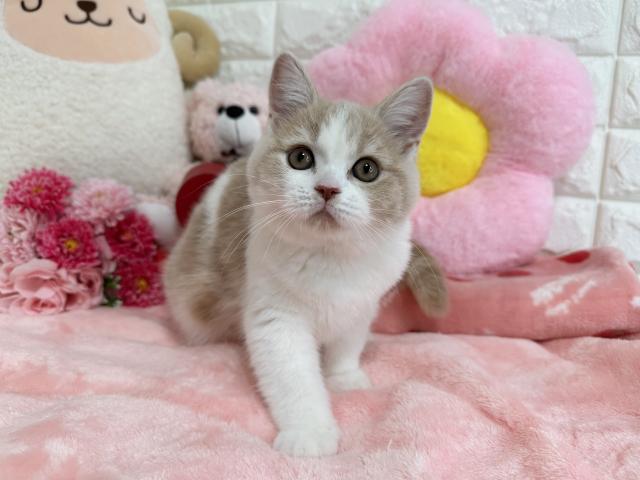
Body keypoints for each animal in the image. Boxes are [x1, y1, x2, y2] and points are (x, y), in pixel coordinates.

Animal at [163, 53, 447, 457]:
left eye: (367, 168)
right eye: (300, 157)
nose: (327, 188)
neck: (330, 257)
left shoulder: (364, 298)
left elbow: (348, 339)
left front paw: (344, 375)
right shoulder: (275, 314)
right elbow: (292, 375)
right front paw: (310, 432)